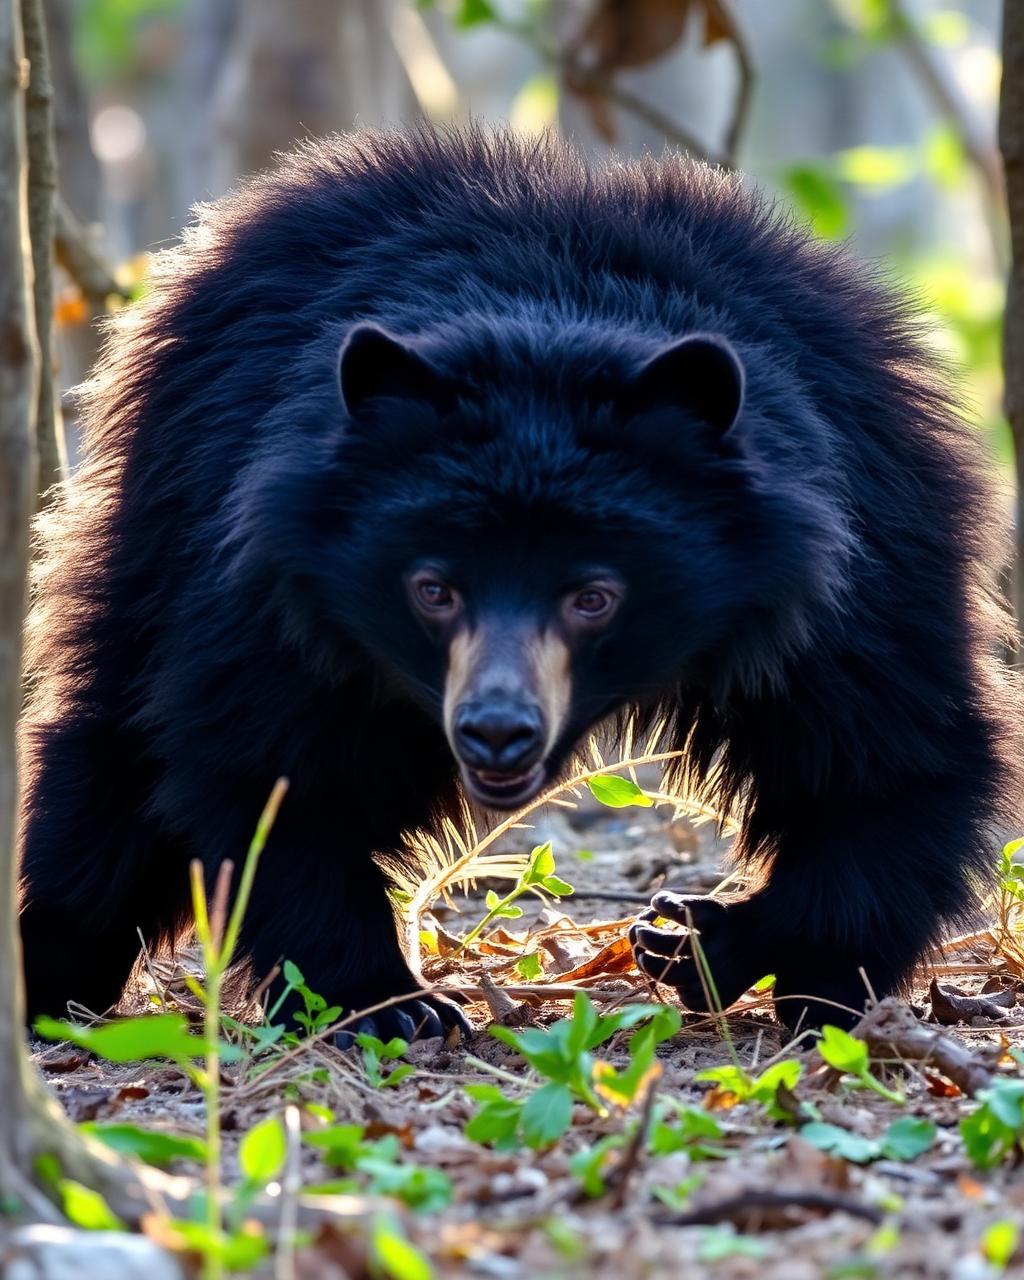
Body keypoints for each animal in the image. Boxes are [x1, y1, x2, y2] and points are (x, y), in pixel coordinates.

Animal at [18, 126, 1020, 1041]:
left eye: (594, 596)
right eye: (433, 590)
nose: (496, 733)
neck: (549, 326)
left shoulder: (856, 554)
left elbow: (886, 762)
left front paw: (701, 944)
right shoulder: (272, 578)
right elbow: (275, 765)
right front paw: (394, 1007)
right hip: (158, 511)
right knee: (110, 757)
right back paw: (51, 978)